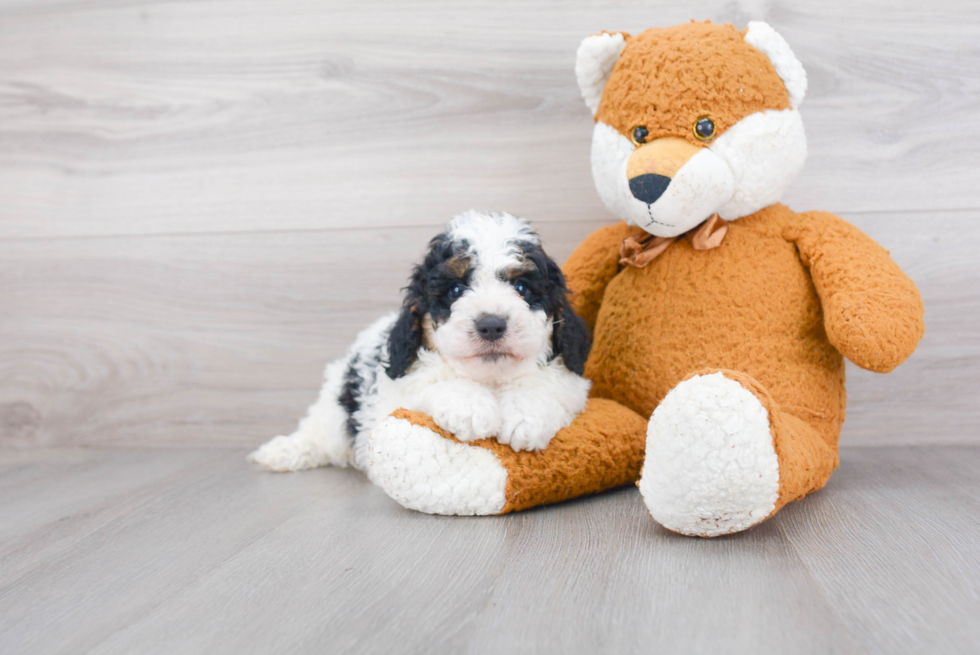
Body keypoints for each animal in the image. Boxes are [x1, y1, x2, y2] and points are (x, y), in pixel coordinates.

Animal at [249, 213, 592, 480]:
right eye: (455, 290)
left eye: (522, 287)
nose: (491, 324)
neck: (489, 378)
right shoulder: (395, 385)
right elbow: (431, 384)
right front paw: (471, 407)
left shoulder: (569, 378)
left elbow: (544, 386)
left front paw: (524, 417)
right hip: (335, 409)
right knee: (318, 434)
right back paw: (283, 451)